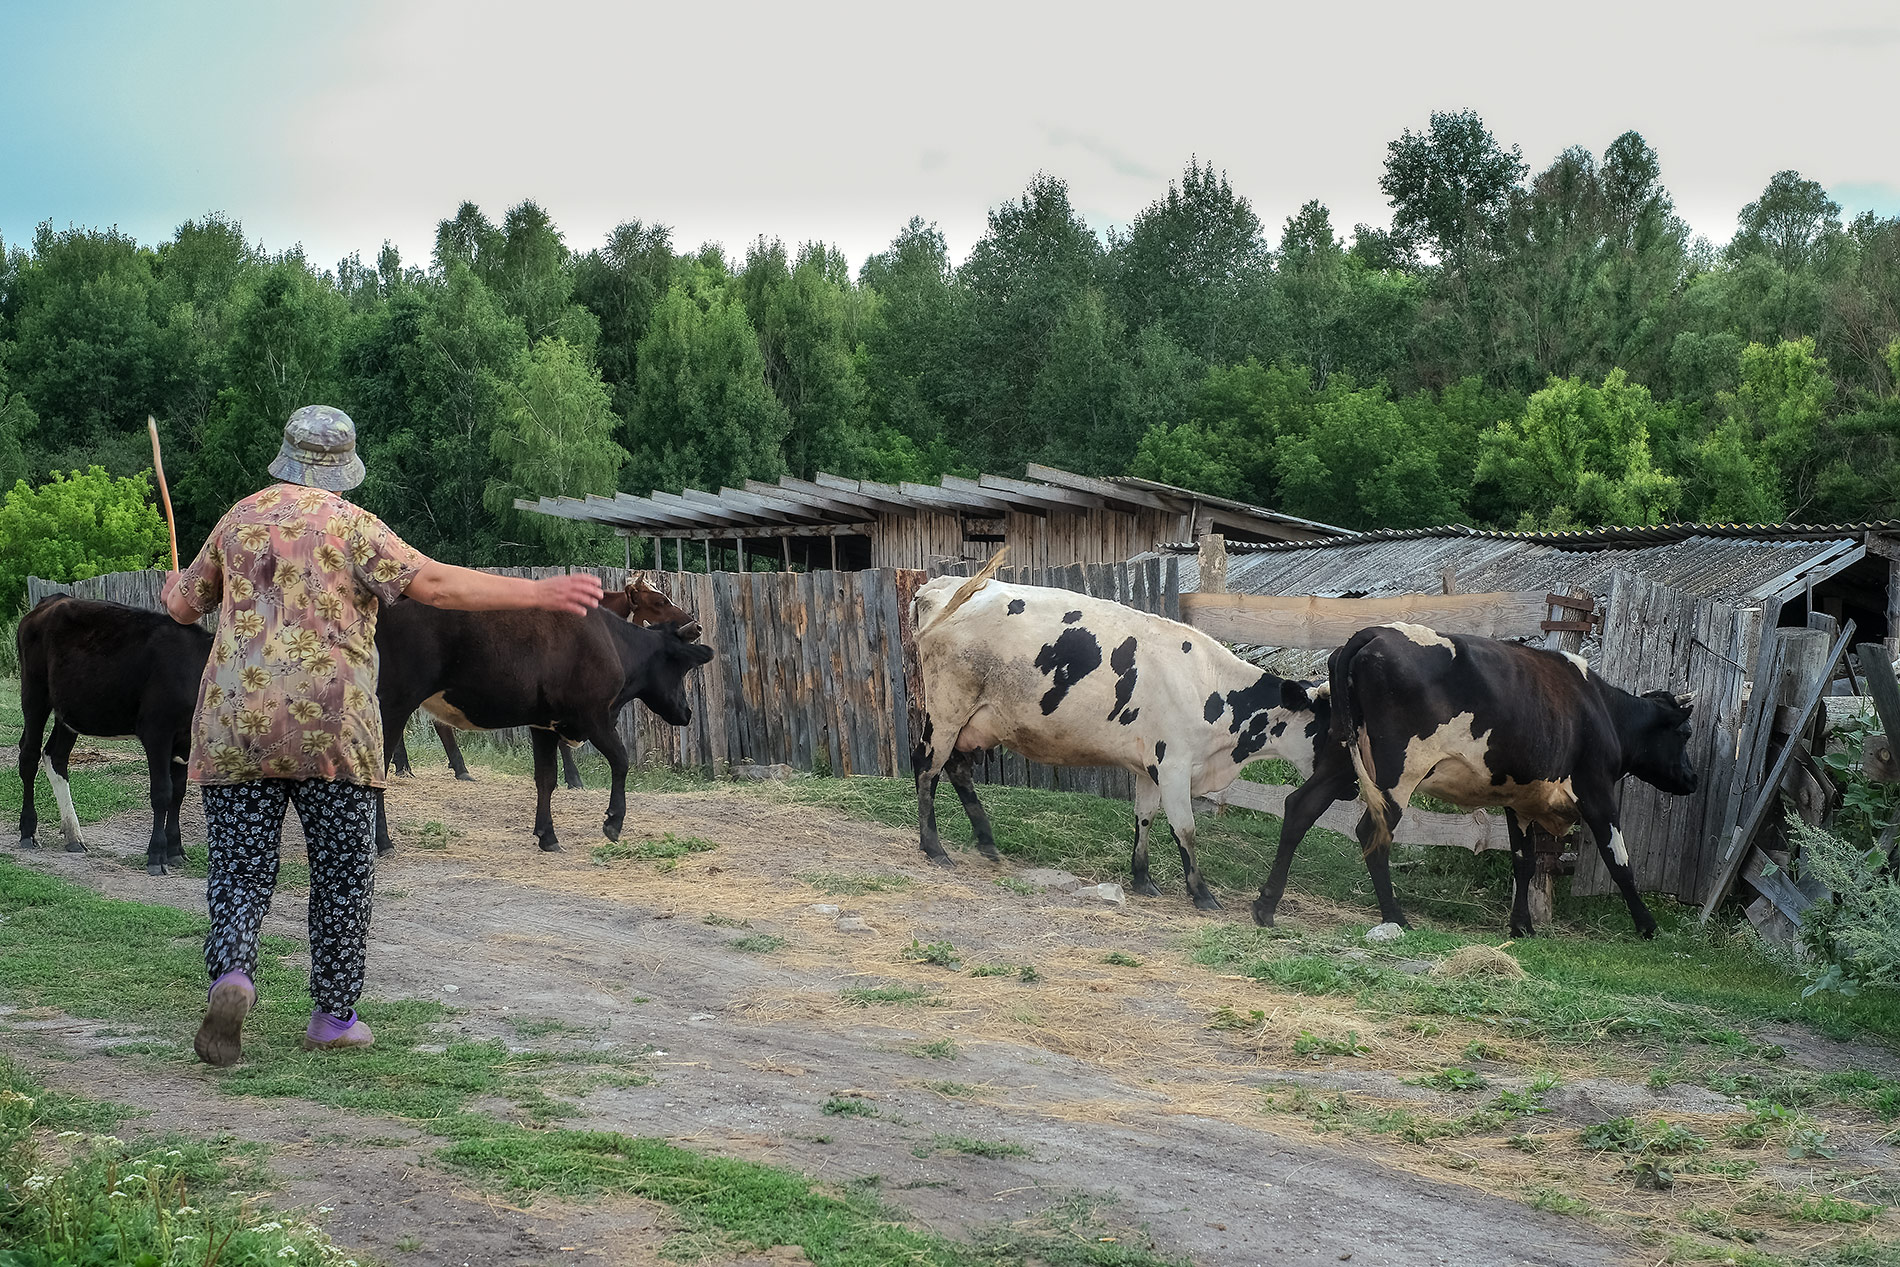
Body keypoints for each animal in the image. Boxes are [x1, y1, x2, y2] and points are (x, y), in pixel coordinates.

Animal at [13, 600, 212, 877]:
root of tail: (51, 601)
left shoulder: (184, 740)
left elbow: (178, 792)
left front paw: (175, 850)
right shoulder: (157, 731)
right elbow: (163, 792)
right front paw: (157, 854)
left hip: (70, 710)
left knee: (55, 756)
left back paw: (73, 836)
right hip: (35, 693)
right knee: (29, 755)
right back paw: (29, 831)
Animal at [374, 604, 714, 850]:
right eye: (682, 667)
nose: (687, 712)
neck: (610, 642)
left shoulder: (544, 725)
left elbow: (546, 779)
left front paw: (547, 836)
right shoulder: (593, 717)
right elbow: (621, 760)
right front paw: (613, 822)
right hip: (394, 703)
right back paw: (383, 841)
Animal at [908, 566, 1330, 911]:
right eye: (1329, 725)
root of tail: (945, 584)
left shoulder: (1149, 766)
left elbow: (1145, 817)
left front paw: (1143, 878)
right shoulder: (1174, 765)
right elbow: (1185, 828)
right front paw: (1202, 894)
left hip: (972, 723)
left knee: (957, 769)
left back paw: (986, 842)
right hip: (947, 707)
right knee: (927, 766)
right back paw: (934, 848)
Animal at [1254, 623, 1702, 942]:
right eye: (1684, 734)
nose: (1694, 778)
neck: (1600, 708)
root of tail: (1372, 632)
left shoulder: (1519, 800)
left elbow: (1523, 861)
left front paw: (1522, 926)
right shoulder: (1596, 791)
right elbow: (1619, 860)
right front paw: (1647, 925)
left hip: (1340, 760)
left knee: (1299, 807)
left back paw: (1266, 906)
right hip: (1398, 772)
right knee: (1371, 832)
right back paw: (1396, 918)